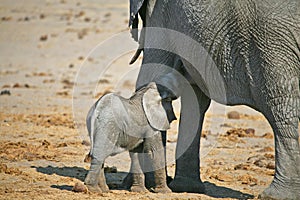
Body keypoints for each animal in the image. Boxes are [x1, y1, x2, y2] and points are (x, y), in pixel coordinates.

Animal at [127, 0, 298, 199]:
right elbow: (195, 98)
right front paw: (185, 188)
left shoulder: (160, 14)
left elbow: (150, 79)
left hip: (272, 38)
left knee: (279, 103)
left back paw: (274, 195)